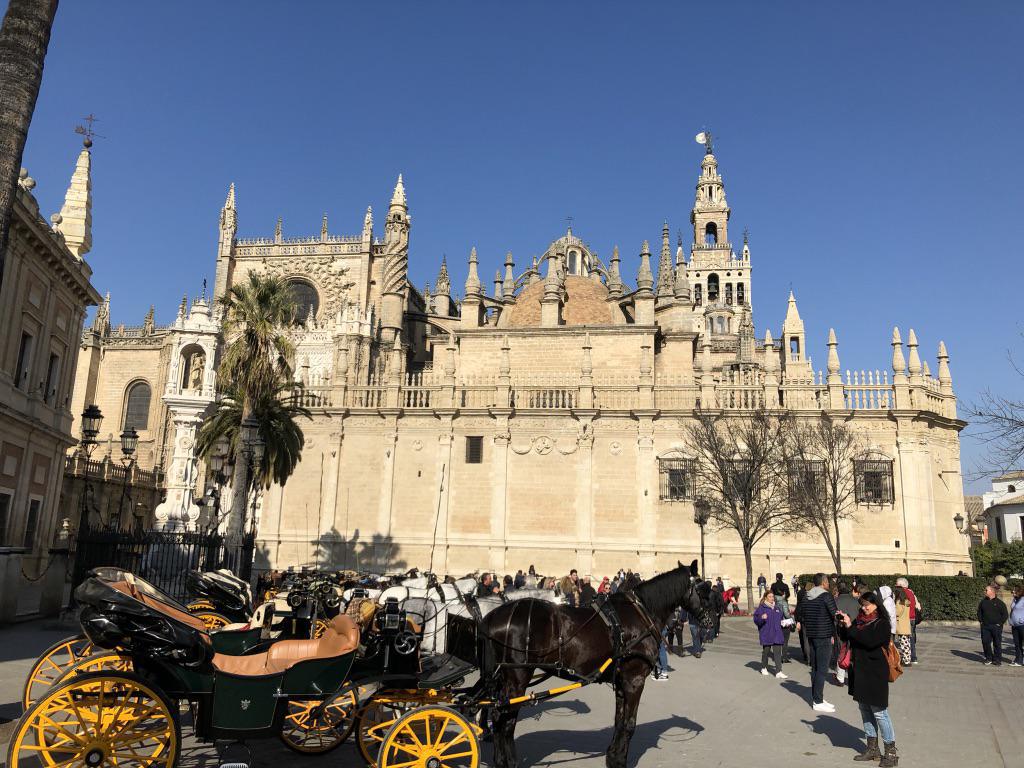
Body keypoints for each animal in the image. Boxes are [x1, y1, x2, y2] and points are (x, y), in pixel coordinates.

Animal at [481, 561, 712, 768]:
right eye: (704, 591)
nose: (710, 622)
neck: (641, 613)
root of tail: (492, 616)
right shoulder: (634, 679)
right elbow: (629, 725)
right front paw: (620, 761)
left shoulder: (622, 682)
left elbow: (619, 722)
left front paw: (613, 758)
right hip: (518, 677)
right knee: (506, 720)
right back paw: (510, 762)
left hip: (504, 678)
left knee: (497, 716)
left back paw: (499, 760)